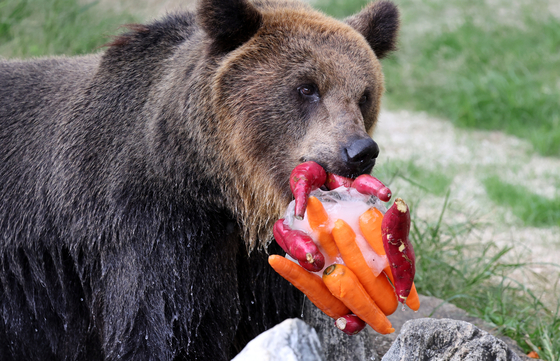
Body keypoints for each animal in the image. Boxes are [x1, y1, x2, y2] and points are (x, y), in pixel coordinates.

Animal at [0, 0, 398, 358]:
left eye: (364, 94)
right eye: (306, 87)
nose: (359, 151)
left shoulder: (260, 263)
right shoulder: (153, 229)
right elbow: (165, 326)